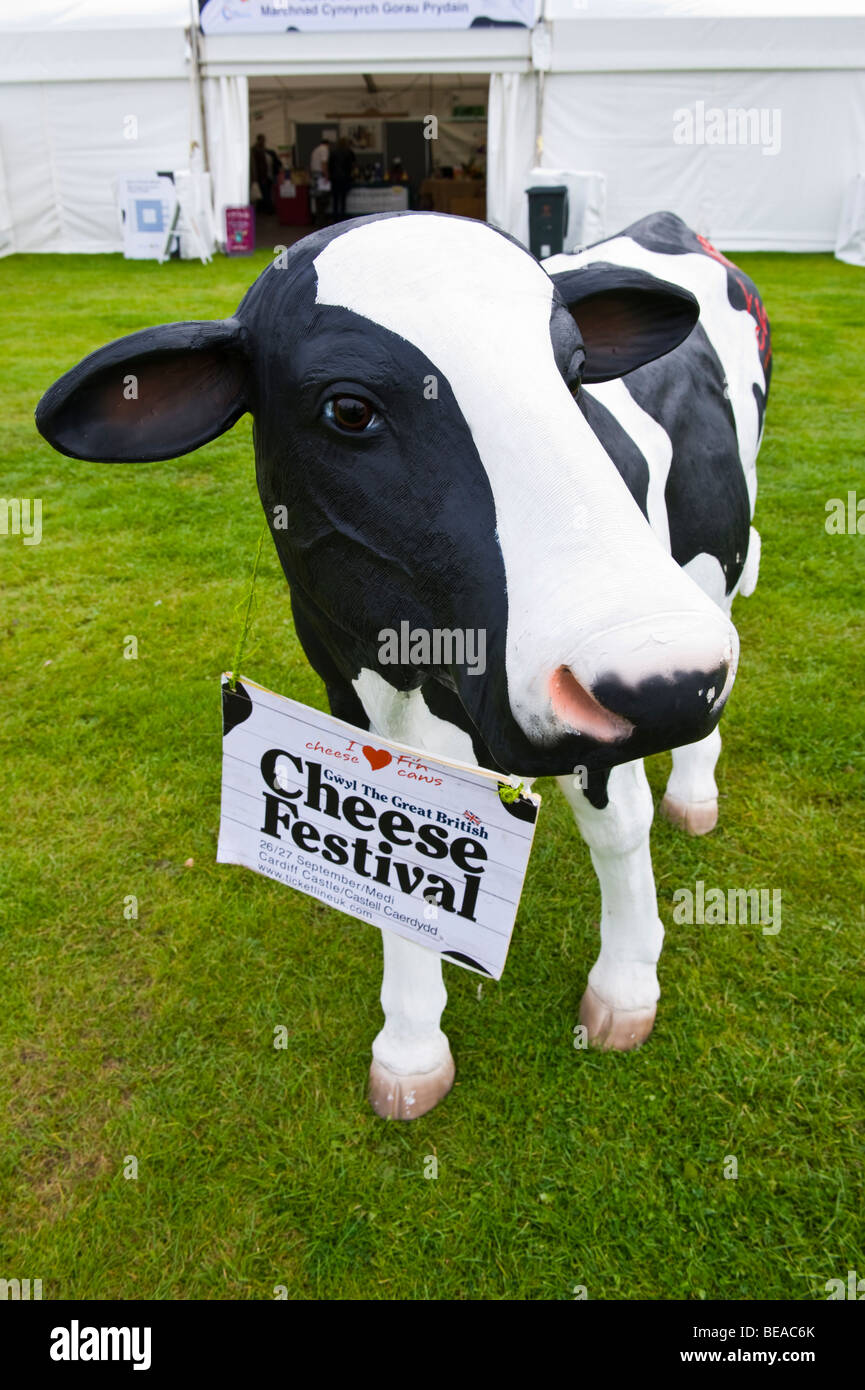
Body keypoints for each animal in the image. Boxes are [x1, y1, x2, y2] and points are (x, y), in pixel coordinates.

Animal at [35, 209, 770, 1121]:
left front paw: (625, 986)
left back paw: (693, 791)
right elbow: (396, 874)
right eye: (348, 408)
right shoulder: (349, 696)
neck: (422, 675)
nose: (667, 678)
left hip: (710, 565)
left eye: (571, 373)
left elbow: (618, 826)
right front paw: (412, 1048)